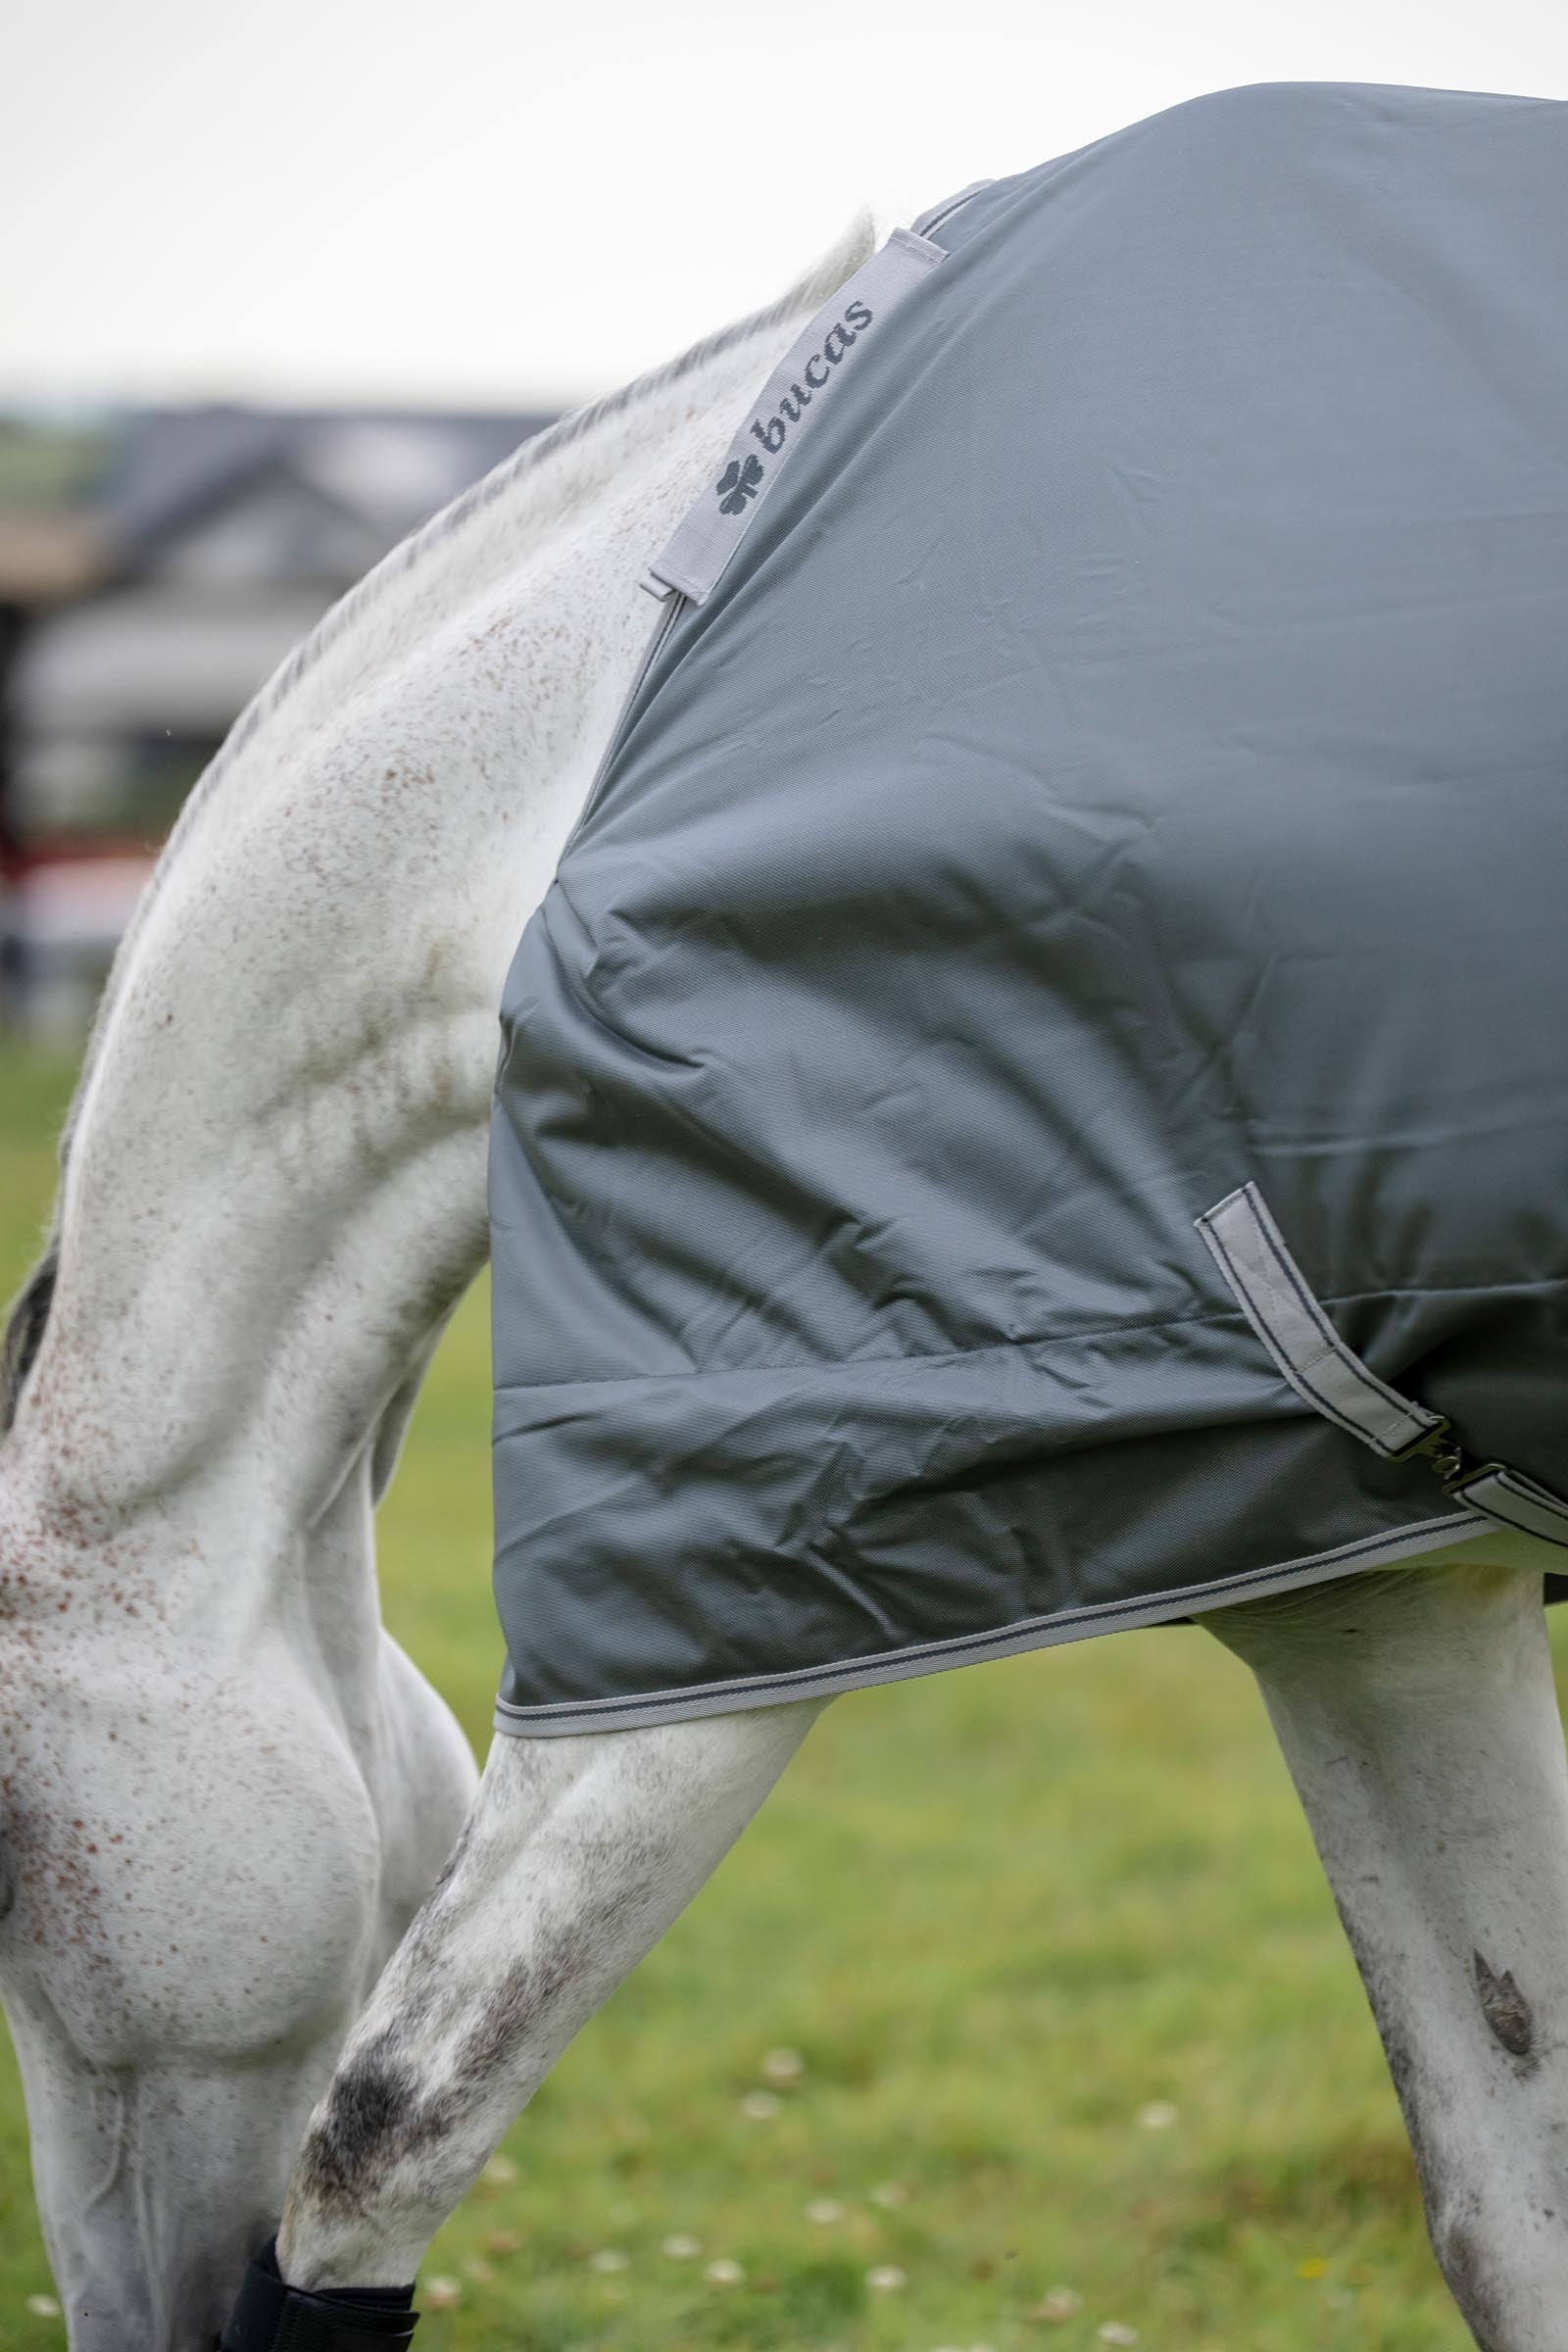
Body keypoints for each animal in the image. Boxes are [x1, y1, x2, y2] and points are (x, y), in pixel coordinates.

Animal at [3, 84, 1568, 2352]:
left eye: (12, 1861)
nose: (113, 2313)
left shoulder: (729, 1584)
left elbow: (372, 2148)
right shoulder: (1372, 1589)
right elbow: (1510, 2207)